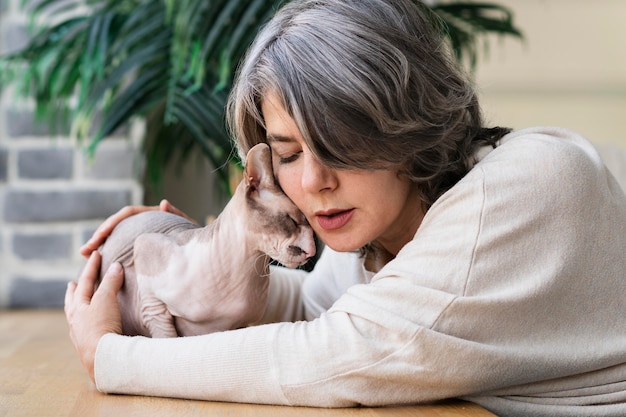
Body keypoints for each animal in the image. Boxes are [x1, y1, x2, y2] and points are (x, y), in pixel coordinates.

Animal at [98, 143, 314, 338]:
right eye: (293, 220)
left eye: (312, 228)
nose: (311, 251)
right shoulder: (145, 250)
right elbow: (164, 331)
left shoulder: (239, 325)